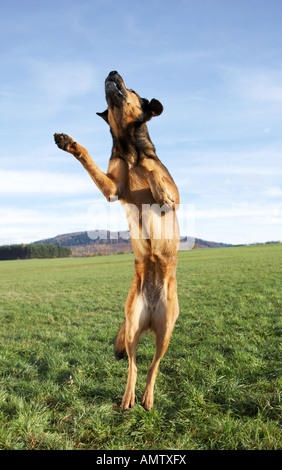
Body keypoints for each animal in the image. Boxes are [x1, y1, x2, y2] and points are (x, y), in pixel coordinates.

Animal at [54, 70, 180, 412]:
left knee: (154, 365)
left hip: (167, 330)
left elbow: (153, 172)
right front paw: (69, 143)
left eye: (133, 89)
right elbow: (88, 158)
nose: (112, 72)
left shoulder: (175, 197)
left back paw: (148, 397)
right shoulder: (111, 188)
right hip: (134, 324)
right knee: (135, 364)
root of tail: (151, 315)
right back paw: (130, 398)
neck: (128, 147)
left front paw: (154, 183)